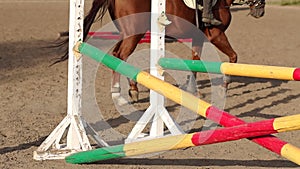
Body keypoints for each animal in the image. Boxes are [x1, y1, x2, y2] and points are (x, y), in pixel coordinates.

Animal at [56, 0, 264, 101]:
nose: (260, 11)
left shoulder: (198, 37)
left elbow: (195, 62)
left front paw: (193, 91)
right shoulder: (216, 35)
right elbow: (233, 57)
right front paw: (223, 87)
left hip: (127, 32)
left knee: (117, 56)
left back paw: (127, 89)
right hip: (134, 33)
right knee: (121, 56)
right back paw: (126, 92)